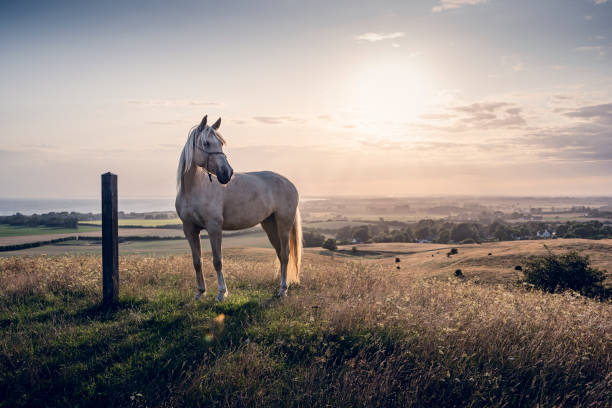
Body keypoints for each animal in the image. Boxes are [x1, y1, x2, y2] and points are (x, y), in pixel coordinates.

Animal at [175, 114, 302, 300]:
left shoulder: (214, 228)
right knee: (280, 254)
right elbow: (197, 261)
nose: (227, 173)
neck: (194, 190)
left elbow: (217, 261)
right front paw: (200, 292)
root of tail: (290, 183)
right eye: (206, 143)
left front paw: (222, 293)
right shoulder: (190, 229)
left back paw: (283, 290)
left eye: (221, 143)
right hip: (270, 224)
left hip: (283, 225)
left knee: (285, 255)